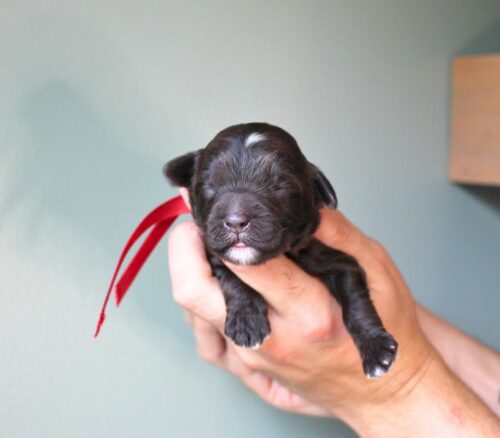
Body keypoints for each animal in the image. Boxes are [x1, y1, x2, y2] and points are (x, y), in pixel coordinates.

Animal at [164, 122, 398, 376]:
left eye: (279, 186)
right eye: (209, 185)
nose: (236, 221)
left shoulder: (340, 262)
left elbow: (355, 302)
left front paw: (376, 349)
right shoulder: (214, 252)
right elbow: (232, 276)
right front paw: (247, 323)